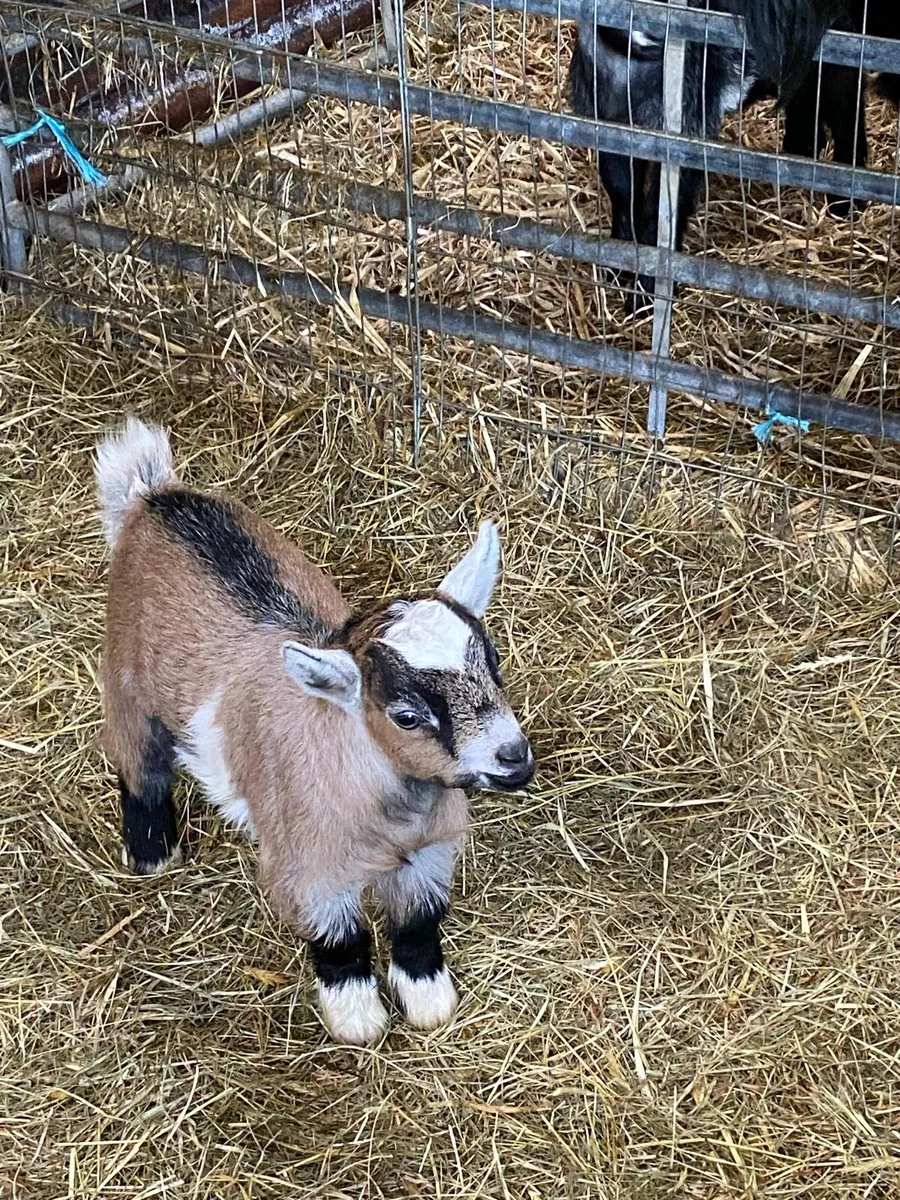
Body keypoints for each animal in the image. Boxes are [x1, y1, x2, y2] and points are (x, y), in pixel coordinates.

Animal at [94, 418, 534, 1045]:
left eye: (493, 664)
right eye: (405, 715)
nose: (513, 757)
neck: (393, 811)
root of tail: (151, 496)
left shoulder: (429, 851)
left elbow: (419, 922)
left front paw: (428, 999)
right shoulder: (309, 868)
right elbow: (339, 938)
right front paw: (359, 1019)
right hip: (128, 681)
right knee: (140, 765)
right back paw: (154, 851)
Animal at [568, 0, 866, 312]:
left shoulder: (687, 133)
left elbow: (659, 211)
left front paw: (646, 293)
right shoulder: (611, 126)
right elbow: (624, 195)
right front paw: (617, 262)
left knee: (846, 109)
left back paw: (846, 201)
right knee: (807, 101)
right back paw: (803, 150)